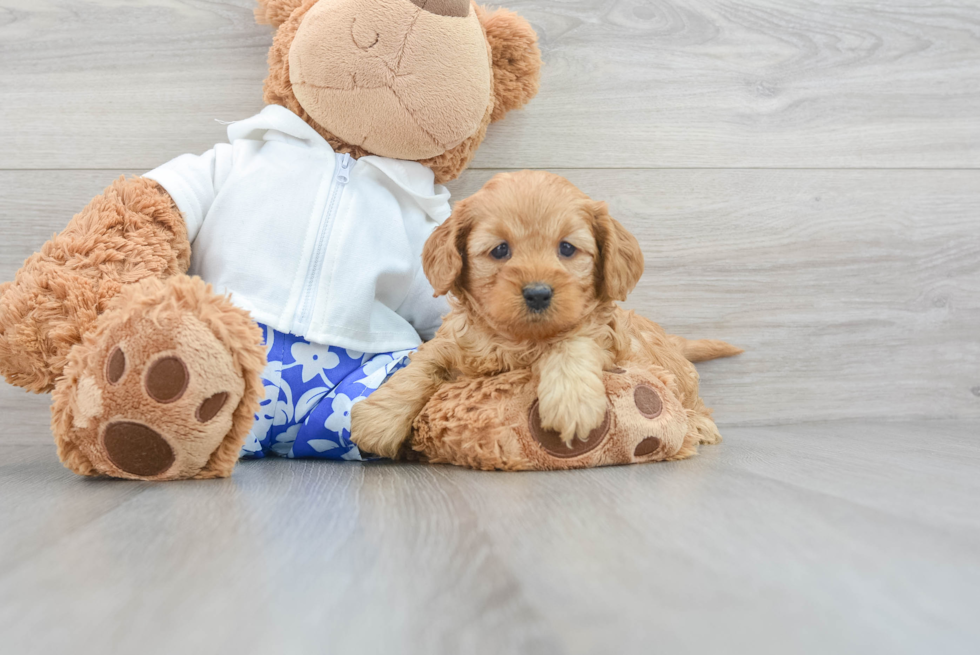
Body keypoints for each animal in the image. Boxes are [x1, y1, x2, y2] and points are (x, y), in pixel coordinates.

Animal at [348, 170, 740, 456]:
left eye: (567, 248)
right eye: (500, 250)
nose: (538, 293)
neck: (517, 339)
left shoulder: (601, 336)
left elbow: (571, 342)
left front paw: (572, 403)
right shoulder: (450, 343)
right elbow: (419, 369)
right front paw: (379, 419)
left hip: (678, 375)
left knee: (692, 398)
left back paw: (699, 424)